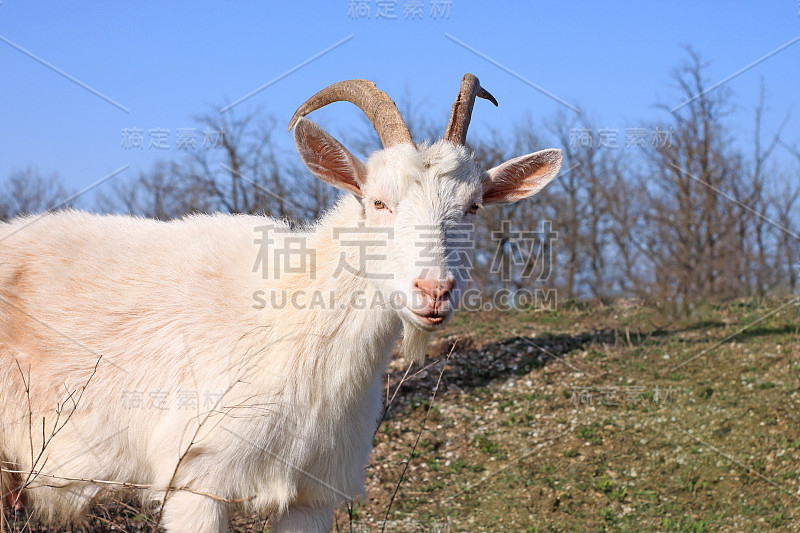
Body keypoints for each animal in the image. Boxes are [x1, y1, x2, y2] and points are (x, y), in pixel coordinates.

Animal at [1, 76, 564, 532]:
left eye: (473, 207)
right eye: (378, 202)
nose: (434, 291)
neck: (293, 323)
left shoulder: (313, 494)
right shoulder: (195, 479)